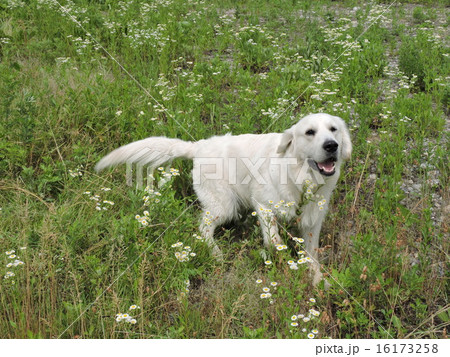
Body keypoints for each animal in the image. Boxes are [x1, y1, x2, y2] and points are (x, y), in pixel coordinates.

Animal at [96, 112, 352, 286]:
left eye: (333, 129)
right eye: (310, 132)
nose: (332, 145)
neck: (301, 178)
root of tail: (199, 146)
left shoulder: (312, 221)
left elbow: (312, 255)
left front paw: (318, 280)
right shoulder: (263, 205)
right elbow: (274, 241)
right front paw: (284, 265)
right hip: (224, 205)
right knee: (203, 228)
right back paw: (216, 253)